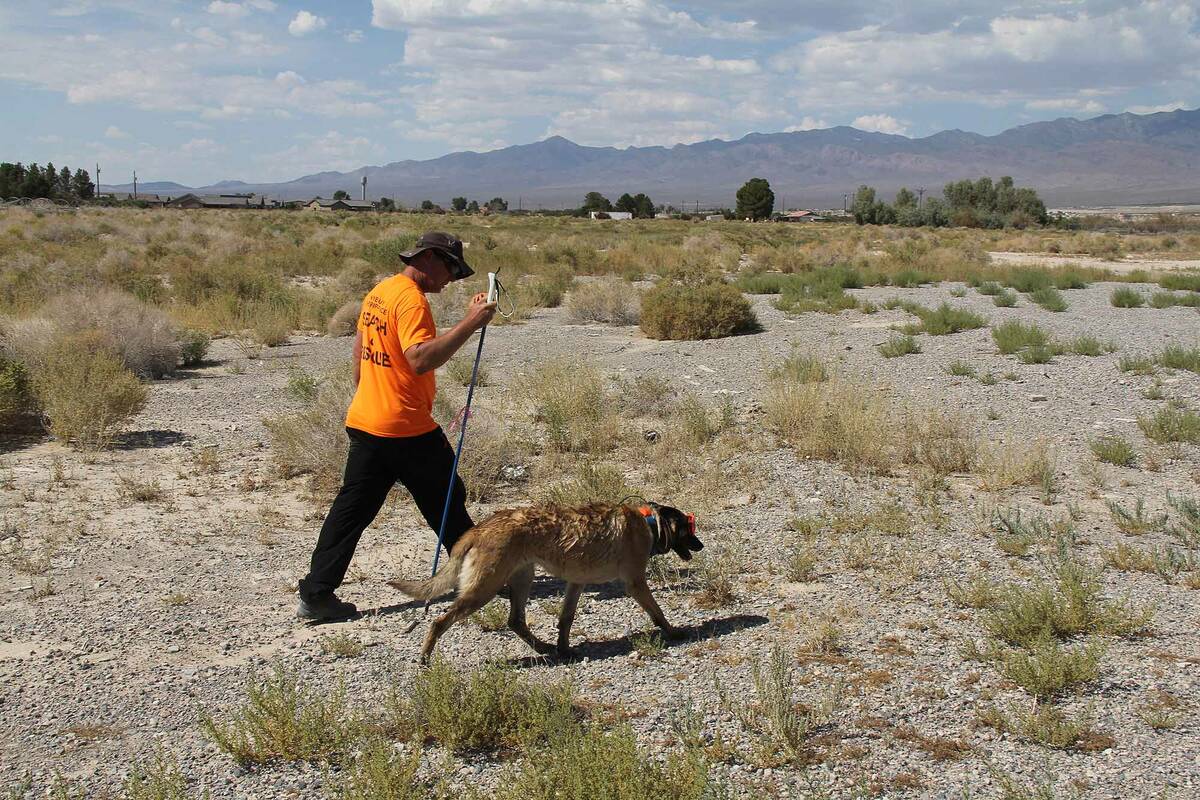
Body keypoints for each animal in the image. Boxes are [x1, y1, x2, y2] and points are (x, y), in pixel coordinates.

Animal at [384, 501, 700, 662]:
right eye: (689, 529)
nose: (702, 546)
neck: (648, 523)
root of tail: (479, 529)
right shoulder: (635, 583)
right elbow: (657, 612)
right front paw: (674, 632)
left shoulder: (576, 584)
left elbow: (566, 620)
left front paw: (564, 648)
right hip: (483, 590)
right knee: (439, 622)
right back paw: (425, 658)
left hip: (523, 579)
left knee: (515, 621)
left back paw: (543, 649)